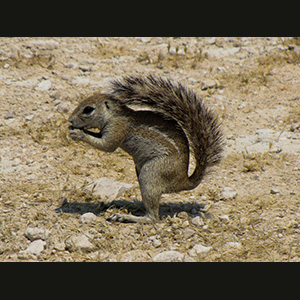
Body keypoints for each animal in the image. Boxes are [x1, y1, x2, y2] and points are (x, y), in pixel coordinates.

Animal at [68, 75, 223, 223]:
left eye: (88, 109)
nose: (70, 120)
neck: (114, 115)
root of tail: (184, 181)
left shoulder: (118, 128)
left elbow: (107, 145)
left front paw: (79, 134)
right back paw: (128, 205)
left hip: (151, 173)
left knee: (153, 218)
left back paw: (127, 217)